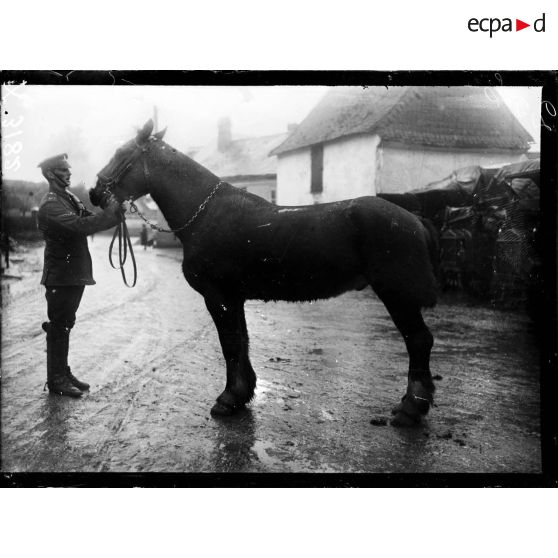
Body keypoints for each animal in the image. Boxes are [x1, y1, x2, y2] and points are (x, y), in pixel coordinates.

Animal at [92, 120, 440, 426]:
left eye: (122, 153)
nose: (95, 192)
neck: (206, 214)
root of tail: (415, 220)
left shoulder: (218, 297)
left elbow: (231, 344)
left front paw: (228, 399)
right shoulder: (234, 298)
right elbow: (241, 342)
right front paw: (242, 395)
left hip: (397, 294)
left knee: (418, 341)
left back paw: (411, 409)